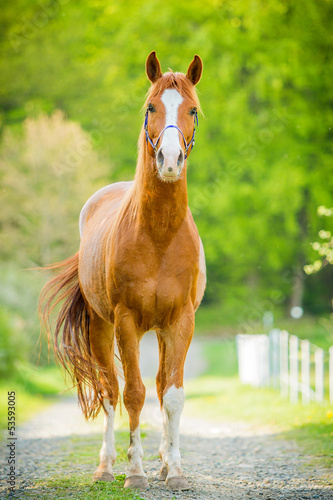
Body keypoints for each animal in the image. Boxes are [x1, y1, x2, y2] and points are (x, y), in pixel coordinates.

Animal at [39, 52, 205, 490]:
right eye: (150, 107)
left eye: (192, 110)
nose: (169, 160)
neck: (158, 235)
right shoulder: (126, 321)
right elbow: (133, 393)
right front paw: (135, 472)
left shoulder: (181, 321)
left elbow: (173, 394)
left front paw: (174, 470)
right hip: (101, 327)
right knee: (109, 390)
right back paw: (107, 466)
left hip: (161, 331)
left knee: (161, 385)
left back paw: (162, 461)